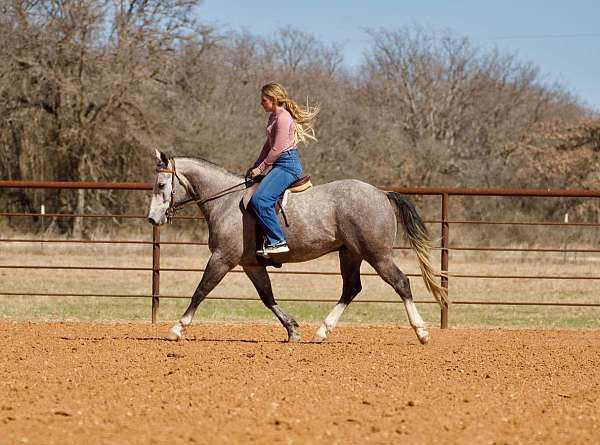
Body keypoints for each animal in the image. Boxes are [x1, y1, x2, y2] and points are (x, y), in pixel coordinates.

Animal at [145, 149, 446, 344]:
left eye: (161, 184)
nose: (152, 219)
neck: (226, 201)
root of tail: (382, 194)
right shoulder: (251, 264)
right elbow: (267, 297)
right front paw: (292, 329)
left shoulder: (221, 259)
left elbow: (200, 291)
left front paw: (177, 328)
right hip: (351, 254)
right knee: (351, 289)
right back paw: (322, 332)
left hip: (377, 255)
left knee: (401, 283)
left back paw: (421, 332)